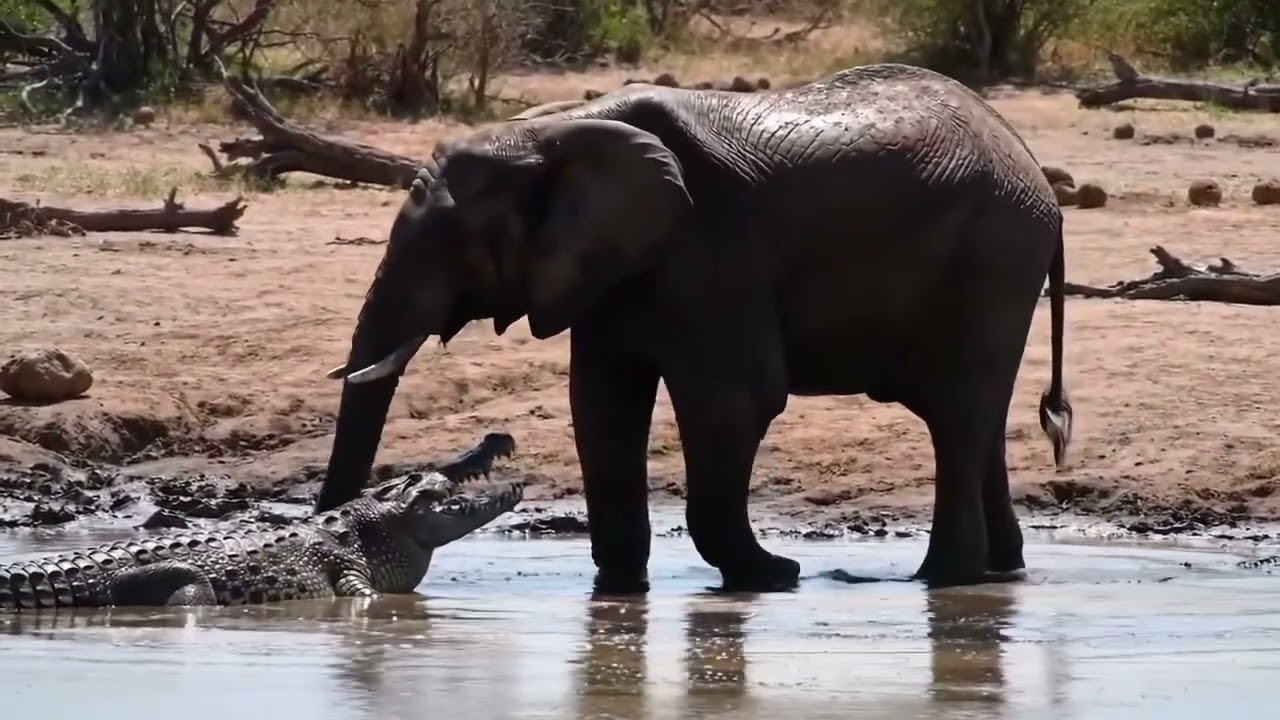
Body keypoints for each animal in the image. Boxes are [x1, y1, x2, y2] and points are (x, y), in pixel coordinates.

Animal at [317, 63, 1074, 593]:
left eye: (453, 243)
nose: (334, 531)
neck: (551, 132)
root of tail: (1031, 163)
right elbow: (602, 405)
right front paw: (622, 590)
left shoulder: (713, 248)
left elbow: (733, 402)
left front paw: (772, 576)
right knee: (979, 419)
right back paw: (1000, 571)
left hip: (996, 253)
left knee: (957, 414)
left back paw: (943, 579)